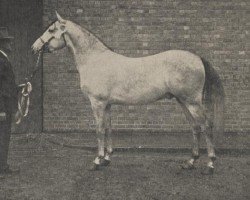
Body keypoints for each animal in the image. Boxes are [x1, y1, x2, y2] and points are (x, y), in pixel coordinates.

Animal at [31, 12, 225, 173]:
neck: (95, 60)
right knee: (195, 127)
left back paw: (210, 164)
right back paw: (190, 162)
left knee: (206, 126)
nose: (34, 47)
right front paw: (107, 158)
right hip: (183, 101)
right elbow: (108, 128)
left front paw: (96, 161)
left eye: (51, 30)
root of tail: (198, 58)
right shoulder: (107, 104)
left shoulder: (97, 103)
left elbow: (99, 130)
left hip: (192, 102)